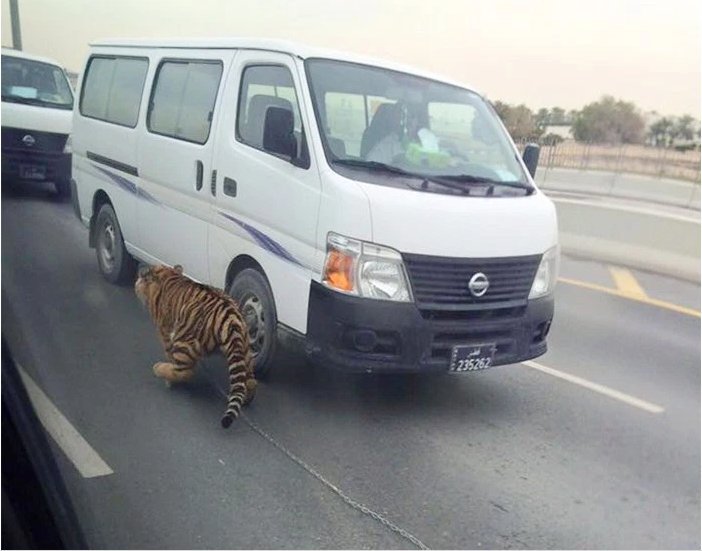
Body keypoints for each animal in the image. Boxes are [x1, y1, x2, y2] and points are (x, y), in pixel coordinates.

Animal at [134, 264, 257, 428]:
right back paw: (245, 400)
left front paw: (168, 378)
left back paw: (160, 369)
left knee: (185, 372)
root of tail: (231, 318)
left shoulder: (165, 332)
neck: (168, 273)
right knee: (250, 382)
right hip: (245, 351)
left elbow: (169, 354)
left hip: (183, 341)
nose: (136, 283)